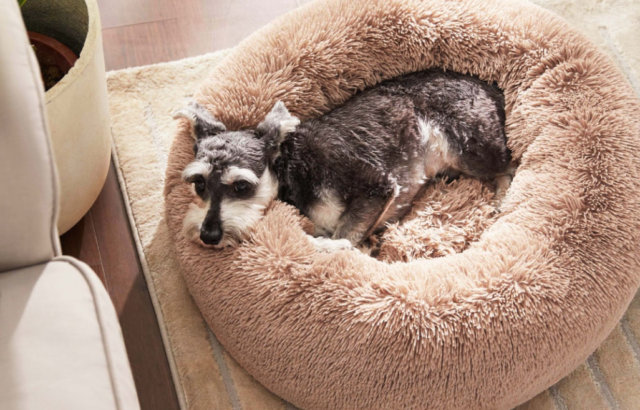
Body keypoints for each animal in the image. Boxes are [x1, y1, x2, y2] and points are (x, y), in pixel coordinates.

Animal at [174, 69, 510, 251]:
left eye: (242, 186)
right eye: (199, 184)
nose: (208, 236)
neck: (290, 168)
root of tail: (490, 87)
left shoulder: (375, 186)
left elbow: (345, 236)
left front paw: (328, 247)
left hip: (468, 146)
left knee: (508, 166)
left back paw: (501, 201)